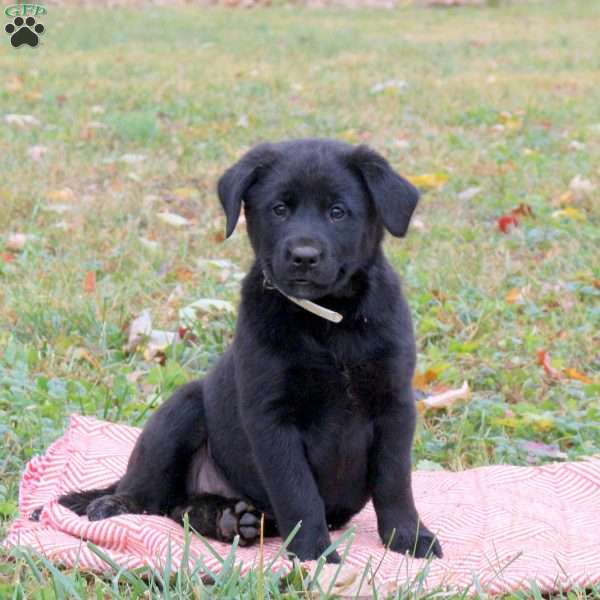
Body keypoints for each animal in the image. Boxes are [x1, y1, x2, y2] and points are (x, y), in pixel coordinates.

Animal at [58, 139, 442, 564]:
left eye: (338, 211)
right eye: (279, 209)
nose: (303, 256)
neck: (329, 323)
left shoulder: (394, 403)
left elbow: (395, 482)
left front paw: (408, 536)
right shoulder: (271, 417)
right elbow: (298, 491)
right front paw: (314, 552)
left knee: (179, 508)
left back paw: (231, 519)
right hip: (180, 409)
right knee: (151, 496)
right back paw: (119, 504)